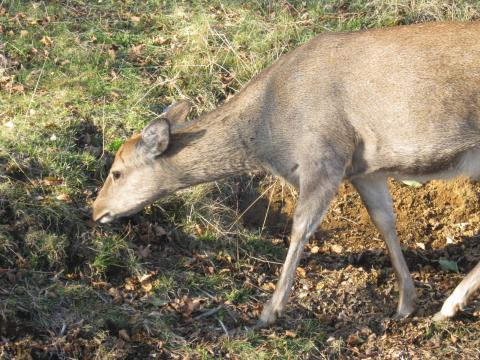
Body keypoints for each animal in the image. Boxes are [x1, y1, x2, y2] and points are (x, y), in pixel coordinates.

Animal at [93, 21, 480, 326]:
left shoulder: (325, 154)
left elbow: (301, 226)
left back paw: (451, 305)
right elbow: (384, 219)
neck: (270, 134)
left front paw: (269, 311)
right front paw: (405, 303)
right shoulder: (364, 168)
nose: (96, 210)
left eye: (117, 172)